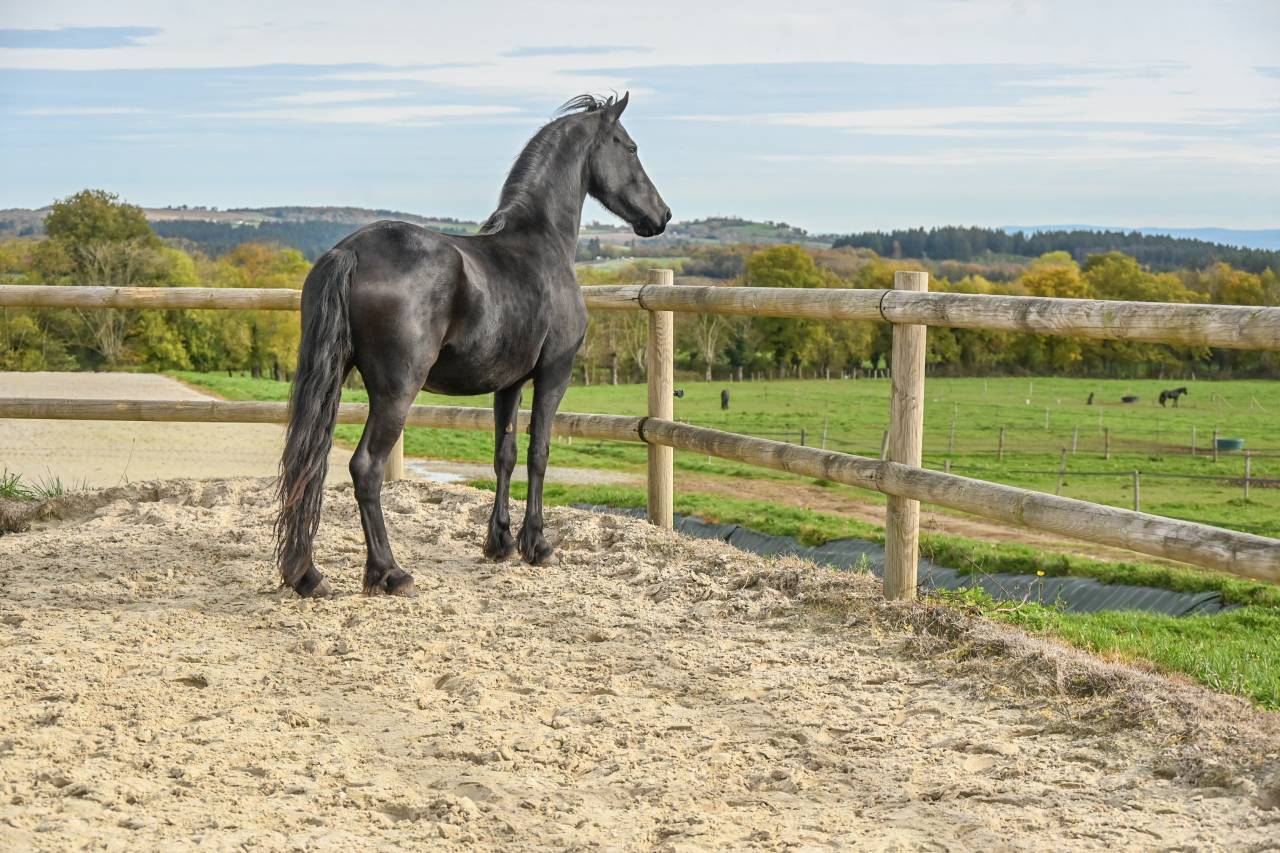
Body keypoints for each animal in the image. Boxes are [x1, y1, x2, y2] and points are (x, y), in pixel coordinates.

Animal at [274, 93, 670, 598]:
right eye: (631, 147)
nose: (661, 216)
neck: (540, 242)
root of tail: (352, 251)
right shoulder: (554, 374)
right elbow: (540, 453)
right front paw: (537, 546)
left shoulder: (509, 383)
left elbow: (505, 455)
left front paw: (499, 543)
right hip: (396, 392)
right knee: (366, 468)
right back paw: (389, 572)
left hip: (333, 379)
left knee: (310, 461)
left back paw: (306, 575)